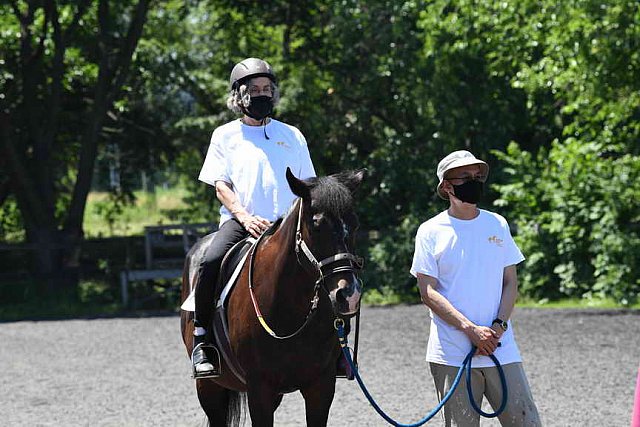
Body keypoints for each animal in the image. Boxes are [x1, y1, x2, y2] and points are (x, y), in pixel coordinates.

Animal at [181, 169, 364, 426]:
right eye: (316, 225)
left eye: (355, 224)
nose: (348, 294)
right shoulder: (259, 389)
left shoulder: (321, 387)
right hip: (209, 388)